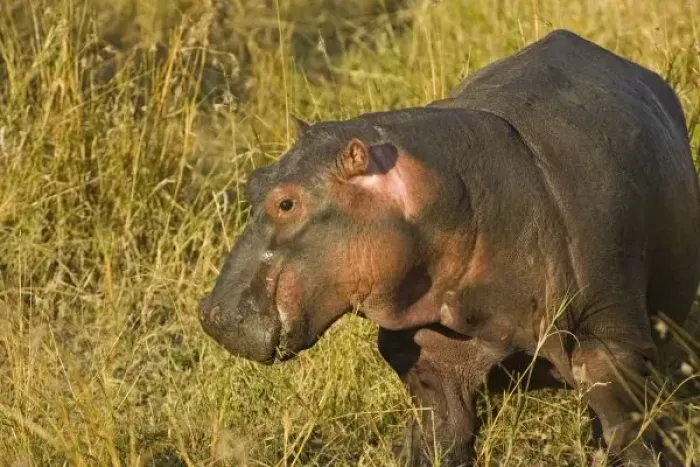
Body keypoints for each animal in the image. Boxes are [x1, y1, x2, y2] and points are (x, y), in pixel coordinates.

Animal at [199, 29, 700, 466]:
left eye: (286, 202)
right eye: (252, 180)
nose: (212, 315)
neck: (450, 191)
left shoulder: (610, 347)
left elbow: (632, 434)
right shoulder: (431, 358)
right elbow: (441, 435)